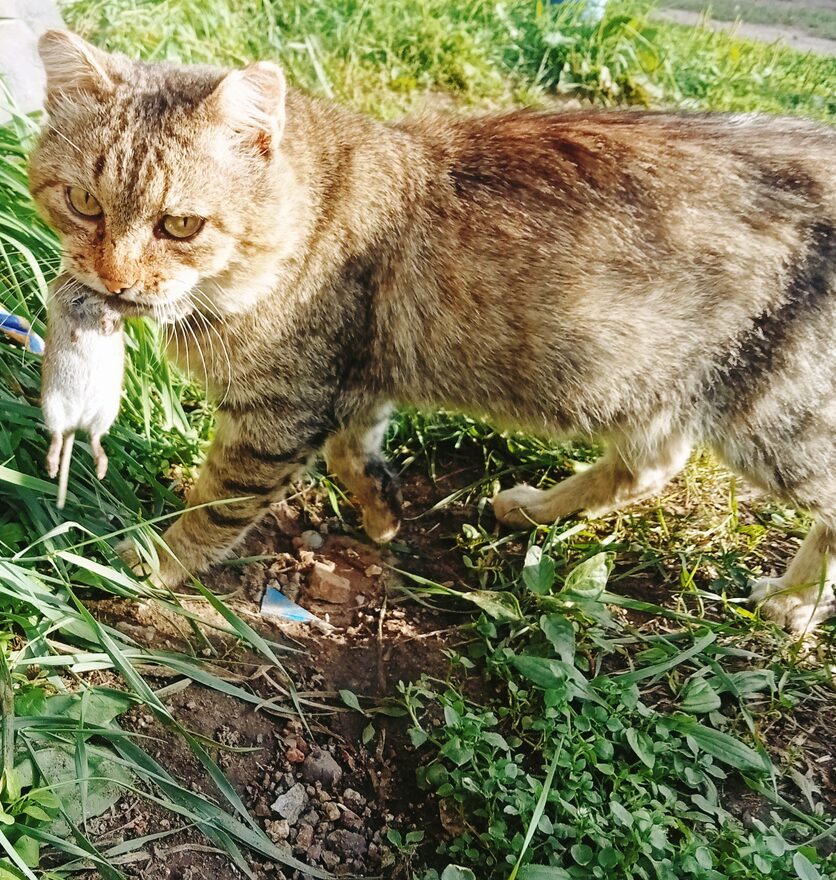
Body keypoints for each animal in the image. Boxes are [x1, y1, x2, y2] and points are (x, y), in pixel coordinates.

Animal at [31, 29, 836, 632]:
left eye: (180, 225)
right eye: (83, 202)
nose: (113, 279)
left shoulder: (279, 412)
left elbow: (216, 505)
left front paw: (149, 563)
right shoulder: (352, 379)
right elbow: (354, 451)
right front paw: (383, 511)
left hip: (775, 418)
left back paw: (793, 604)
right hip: (639, 381)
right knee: (651, 464)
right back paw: (535, 506)